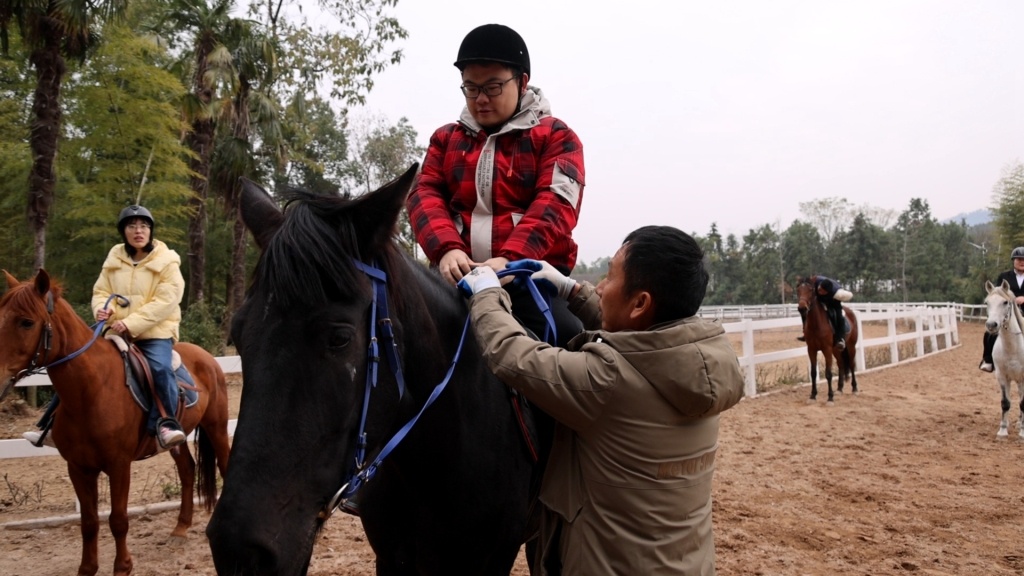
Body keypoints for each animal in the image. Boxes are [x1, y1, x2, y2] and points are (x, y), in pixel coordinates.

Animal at [0, 268, 230, 573]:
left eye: (26, 322)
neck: (91, 390)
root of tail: (208, 358)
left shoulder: (119, 465)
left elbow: (118, 519)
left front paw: (122, 567)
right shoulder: (78, 467)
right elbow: (89, 522)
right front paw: (87, 569)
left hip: (217, 426)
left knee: (224, 466)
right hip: (177, 440)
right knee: (187, 471)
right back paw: (180, 530)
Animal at [794, 274, 860, 403]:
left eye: (811, 290)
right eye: (798, 290)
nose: (802, 308)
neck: (816, 324)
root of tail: (851, 312)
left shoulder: (826, 349)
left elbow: (828, 373)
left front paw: (830, 397)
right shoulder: (812, 350)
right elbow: (813, 373)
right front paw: (813, 395)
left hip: (851, 346)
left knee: (851, 364)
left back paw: (854, 388)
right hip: (836, 349)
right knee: (841, 364)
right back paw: (839, 389)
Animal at [978, 280, 1024, 436]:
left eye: (1005, 302)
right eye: (986, 303)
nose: (991, 325)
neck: (1013, 347)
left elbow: (1023, 403)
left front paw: (1022, 433)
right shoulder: (1002, 376)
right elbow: (1005, 403)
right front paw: (1003, 430)